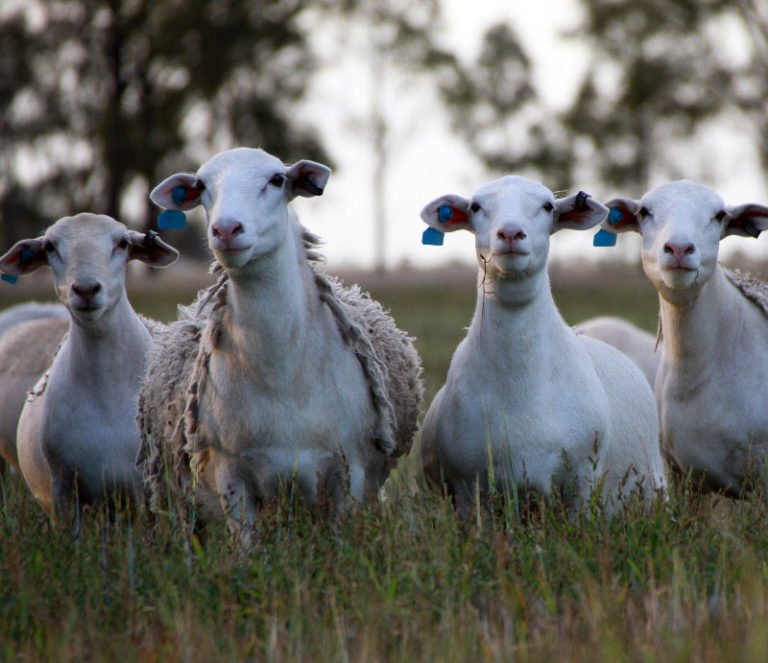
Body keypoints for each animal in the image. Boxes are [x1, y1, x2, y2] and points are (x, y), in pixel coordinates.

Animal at [139, 147, 424, 541]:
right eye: (202, 186)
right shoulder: (232, 476)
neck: (282, 374)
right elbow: (247, 546)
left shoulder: (348, 472)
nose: (226, 230)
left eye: (276, 180)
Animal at [418, 176, 667, 514]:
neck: (520, 385)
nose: (510, 233)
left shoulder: (582, 479)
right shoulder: (469, 489)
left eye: (548, 206)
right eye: (476, 206)